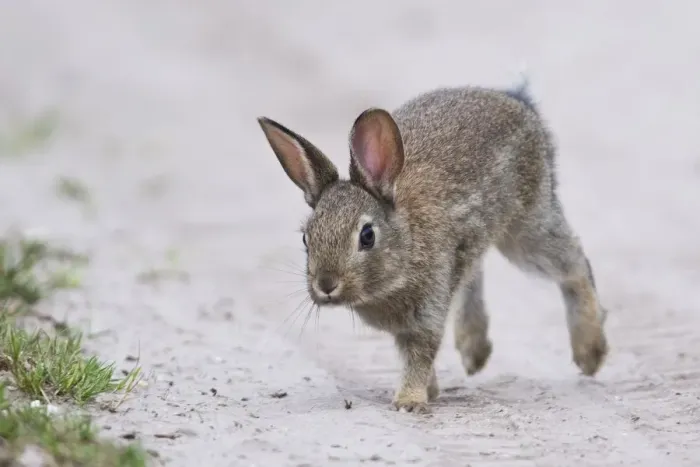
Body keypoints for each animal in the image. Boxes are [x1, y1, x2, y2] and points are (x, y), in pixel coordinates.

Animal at [257, 80, 609, 414]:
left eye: (367, 236)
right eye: (306, 238)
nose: (326, 285)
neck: (407, 243)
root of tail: (518, 102)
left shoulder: (427, 310)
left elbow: (420, 354)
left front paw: (410, 401)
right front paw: (429, 391)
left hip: (526, 228)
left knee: (575, 265)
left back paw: (591, 352)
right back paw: (474, 350)